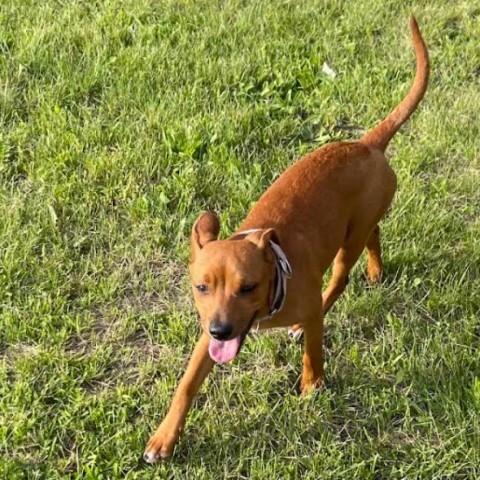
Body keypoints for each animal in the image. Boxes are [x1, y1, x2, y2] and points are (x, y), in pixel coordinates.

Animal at [144, 16, 430, 464]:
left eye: (248, 287)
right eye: (201, 287)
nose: (221, 331)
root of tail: (366, 144)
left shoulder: (305, 313)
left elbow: (314, 351)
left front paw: (312, 385)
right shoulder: (205, 337)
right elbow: (186, 384)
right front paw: (164, 437)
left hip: (345, 247)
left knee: (340, 279)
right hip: (358, 223)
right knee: (375, 232)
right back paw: (376, 269)